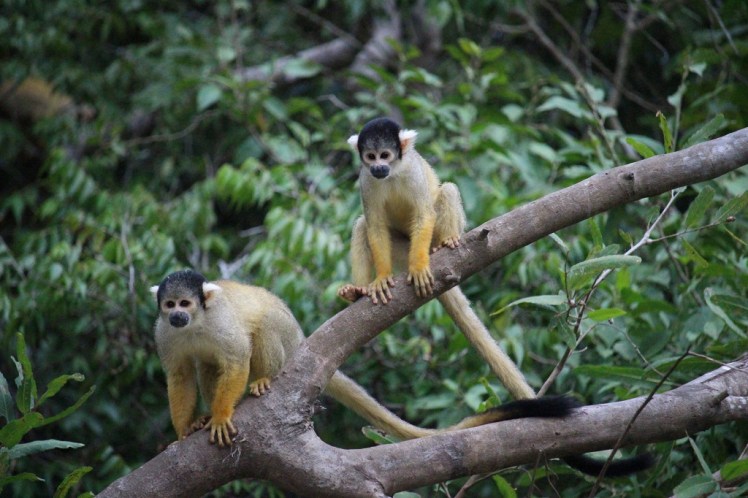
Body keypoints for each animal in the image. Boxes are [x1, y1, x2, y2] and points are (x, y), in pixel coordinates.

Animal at [151, 269, 651, 475]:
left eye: (186, 303)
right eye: (170, 304)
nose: (177, 315)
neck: (196, 324)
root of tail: (302, 341)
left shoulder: (218, 322)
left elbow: (235, 356)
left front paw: (220, 417)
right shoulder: (163, 334)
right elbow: (179, 374)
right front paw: (185, 430)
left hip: (286, 339)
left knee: (262, 331)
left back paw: (258, 382)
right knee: (205, 364)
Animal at [338, 117, 535, 400]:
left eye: (385, 155)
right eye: (370, 156)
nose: (378, 167)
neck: (393, 173)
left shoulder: (413, 173)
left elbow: (424, 214)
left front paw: (419, 268)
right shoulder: (365, 180)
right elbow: (374, 225)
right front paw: (382, 278)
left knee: (448, 190)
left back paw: (445, 243)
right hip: (402, 249)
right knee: (361, 225)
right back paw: (358, 291)